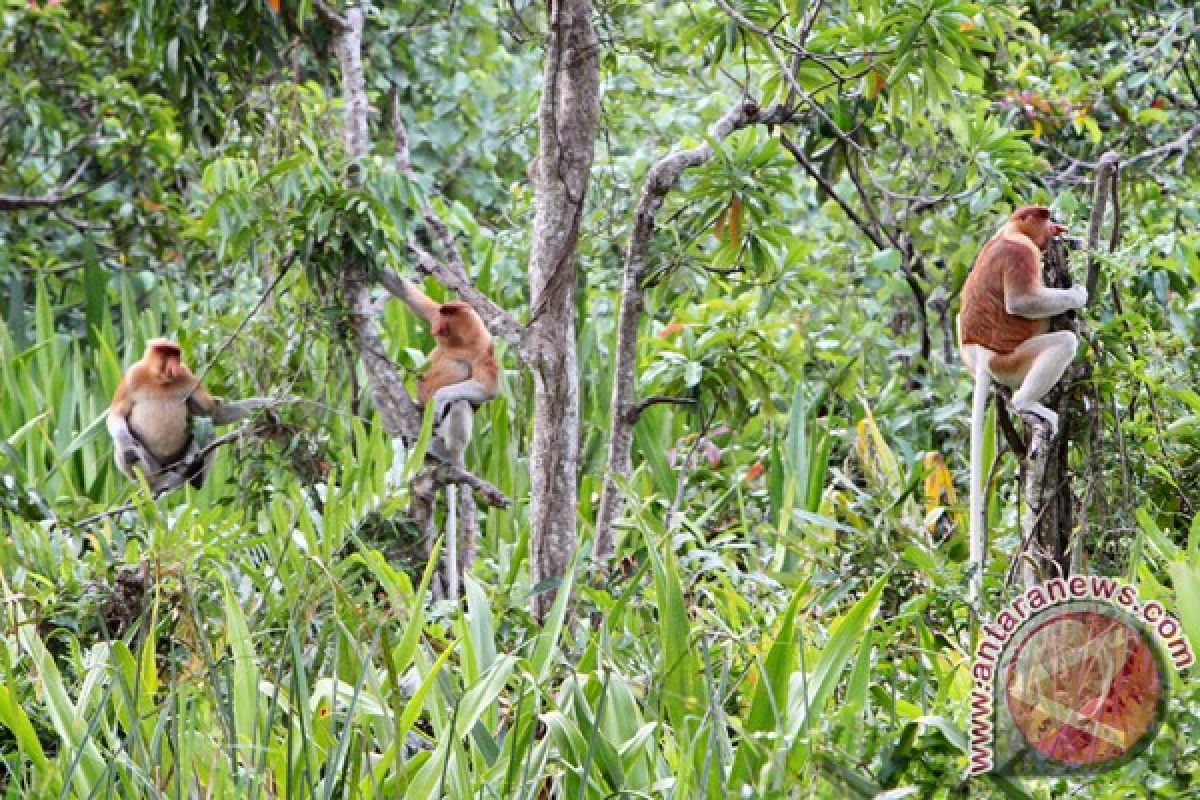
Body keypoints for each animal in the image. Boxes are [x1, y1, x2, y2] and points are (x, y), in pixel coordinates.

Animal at [106, 340, 277, 491]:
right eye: (169, 354)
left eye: (176, 355)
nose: (176, 364)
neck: (159, 380)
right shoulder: (132, 376)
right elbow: (116, 415)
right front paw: (126, 444)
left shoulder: (187, 377)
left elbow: (215, 413)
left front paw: (272, 404)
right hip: (156, 467)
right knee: (123, 448)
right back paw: (157, 482)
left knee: (208, 433)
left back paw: (195, 476)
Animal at [955, 206, 1089, 599]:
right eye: (1045, 218)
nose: (1057, 227)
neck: (1008, 232)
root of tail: (982, 357)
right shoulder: (1021, 255)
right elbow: (1024, 301)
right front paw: (1078, 293)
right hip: (1012, 361)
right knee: (1062, 342)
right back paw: (1030, 402)